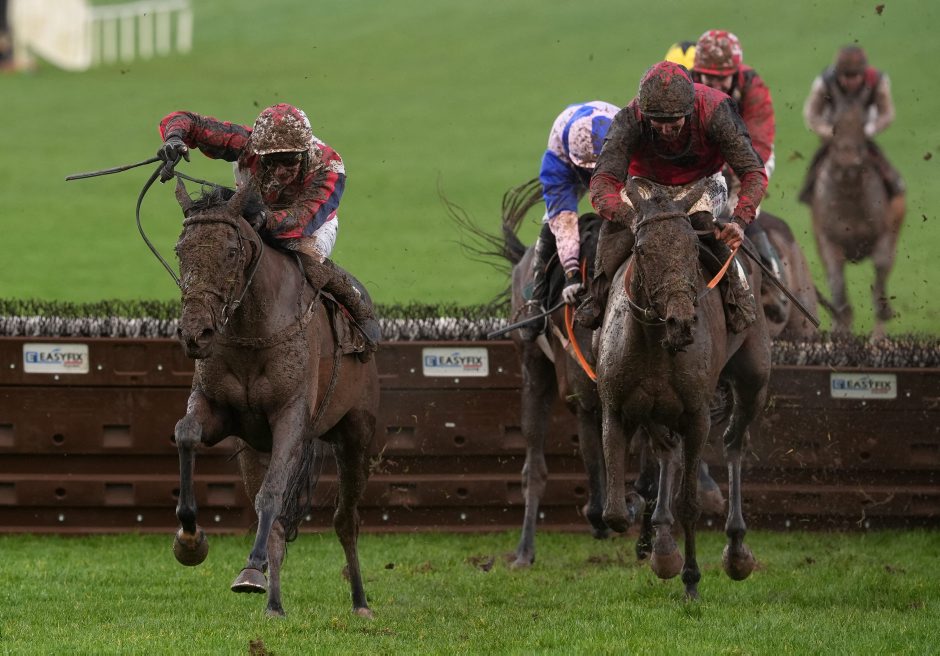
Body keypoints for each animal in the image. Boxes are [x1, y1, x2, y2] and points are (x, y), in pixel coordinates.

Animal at [169, 181, 379, 618]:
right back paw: (273, 603)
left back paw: (360, 601)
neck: (253, 329)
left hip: (356, 435)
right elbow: (186, 433)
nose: (195, 334)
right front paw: (190, 541)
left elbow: (271, 494)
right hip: (253, 448)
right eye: (180, 250)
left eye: (230, 252)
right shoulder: (223, 415)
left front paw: (251, 565)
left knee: (345, 519)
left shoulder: (291, 419)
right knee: (280, 521)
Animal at [596, 177, 771, 599]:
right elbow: (614, 512)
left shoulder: (695, 416)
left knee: (734, 442)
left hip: (753, 377)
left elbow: (690, 502)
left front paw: (691, 578)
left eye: (692, 247)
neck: (654, 344)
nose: (681, 321)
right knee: (668, 449)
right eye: (641, 249)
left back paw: (736, 551)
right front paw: (656, 544)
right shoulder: (616, 408)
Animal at [809, 92, 905, 339]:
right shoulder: (828, 241)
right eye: (834, 126)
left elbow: (880, 274)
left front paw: (880, 326)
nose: (847, 163)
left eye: (862, 126)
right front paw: (841, 326)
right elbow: (837, 284)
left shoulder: (884, 237)